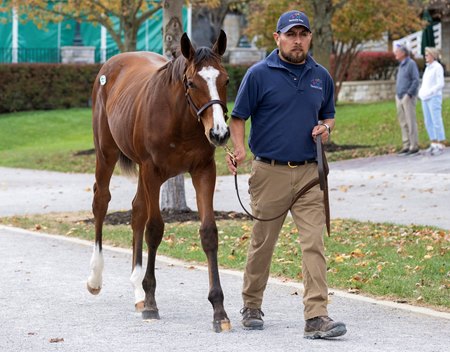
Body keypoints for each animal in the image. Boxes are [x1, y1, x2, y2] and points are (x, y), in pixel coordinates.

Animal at [85, 31, 230, 332]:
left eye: (225, 80)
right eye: (192, 82)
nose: (219, 133)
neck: (179, 117)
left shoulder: (203, 170)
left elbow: (208, 232)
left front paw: (219, 310)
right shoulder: (152, 170)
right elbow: (154, 230)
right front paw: (152, 302)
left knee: (137, 210)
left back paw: (137, 291)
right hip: (106, 154)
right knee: (101, 202)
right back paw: (96, 279)